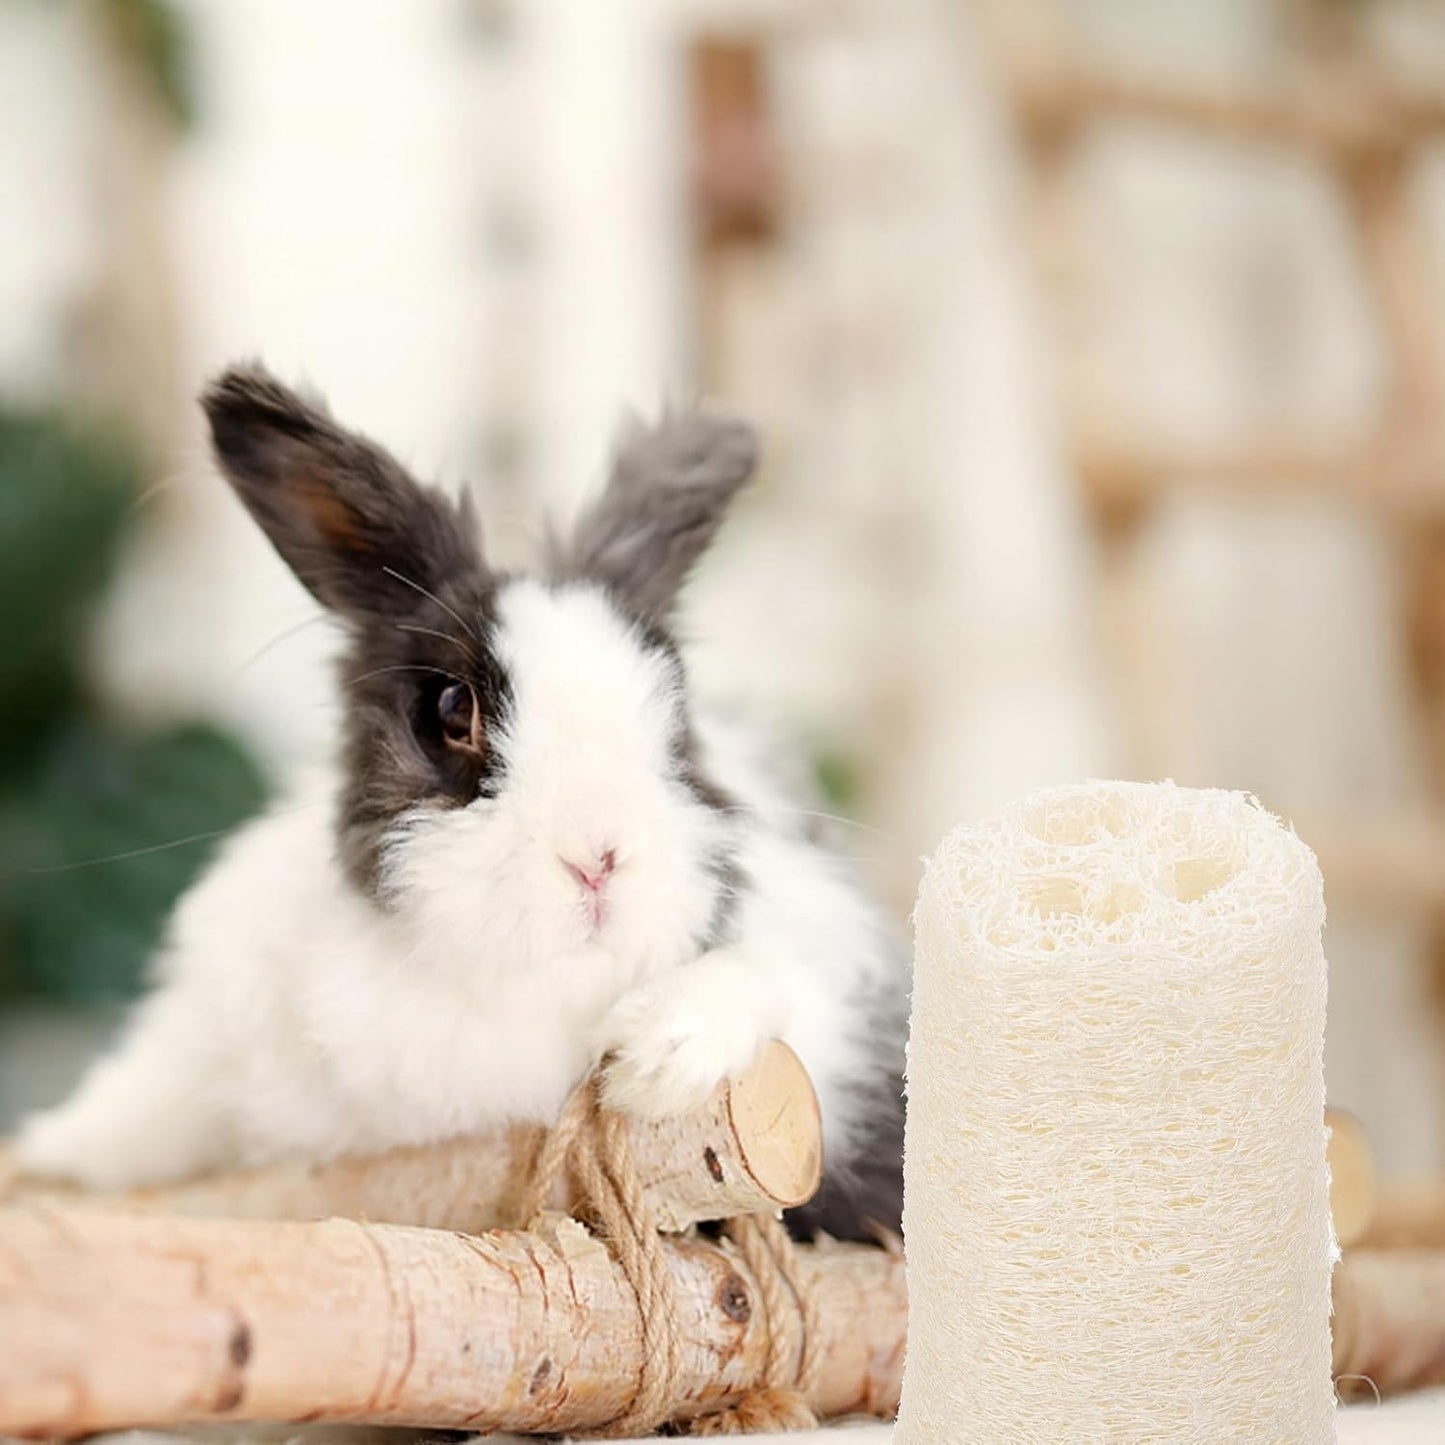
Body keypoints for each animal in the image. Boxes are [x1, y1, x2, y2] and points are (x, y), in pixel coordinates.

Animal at [13, 365, 907, 1240]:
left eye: (676, 710)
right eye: (449, 708)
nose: (599, 859)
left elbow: (768, 974)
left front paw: (655, 1058)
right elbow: (146, 1100)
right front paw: (50, 1154)